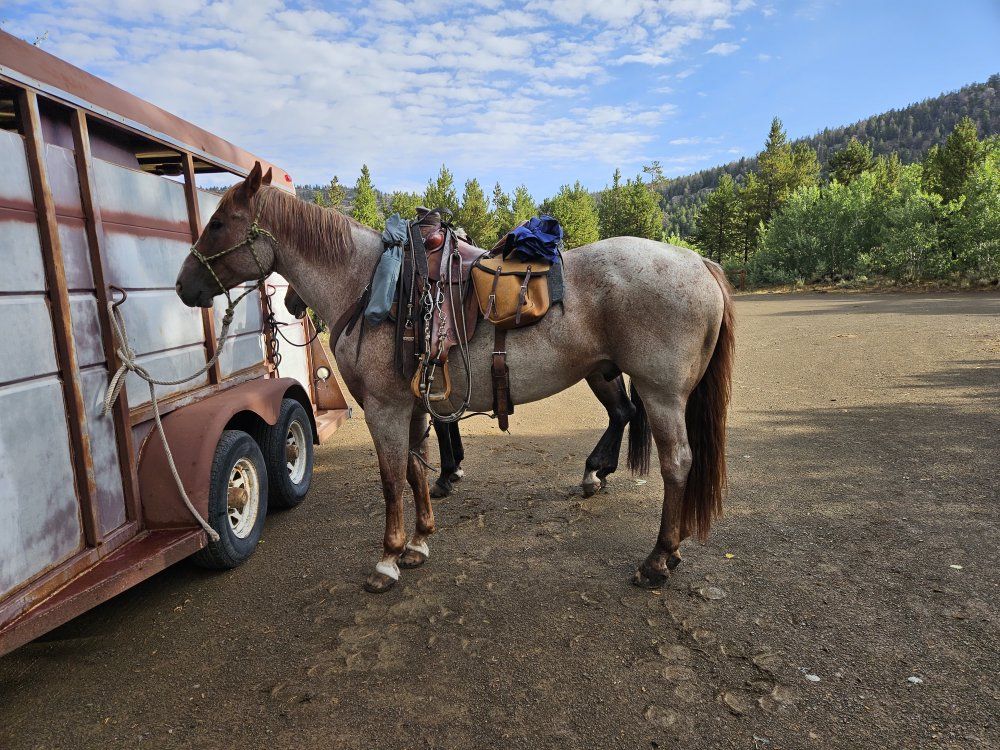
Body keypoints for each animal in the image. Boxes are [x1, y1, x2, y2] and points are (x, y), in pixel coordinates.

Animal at [176, 163, 735, 594]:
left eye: (219, 222)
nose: (183, 285)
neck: (369, 285)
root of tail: (698, 262)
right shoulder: (411, 404)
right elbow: (415, 470)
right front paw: (420, 541)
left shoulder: (385, 408)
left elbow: (391, 479)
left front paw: (387, 560)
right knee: (634, 425)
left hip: (660, 393)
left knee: (676, 462)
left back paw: (658, 558)